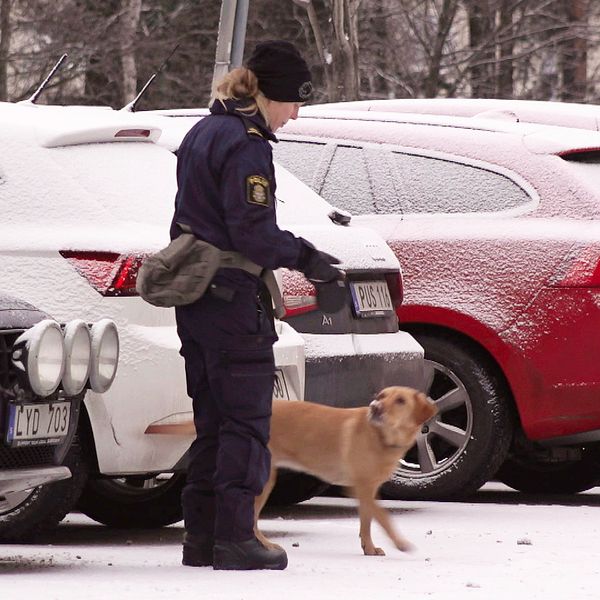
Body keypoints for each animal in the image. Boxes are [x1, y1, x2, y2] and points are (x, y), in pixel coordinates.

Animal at [253, 386, 436, 556]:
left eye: (400, 400)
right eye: (381, 396)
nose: (375, 407)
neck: (380, 437)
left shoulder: (369, 489)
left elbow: (367, 521)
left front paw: (369, 548)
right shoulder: (360, 488)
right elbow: (383, 517)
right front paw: (399, 543)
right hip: (264, 482)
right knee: (253, 521)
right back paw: (266, 544)